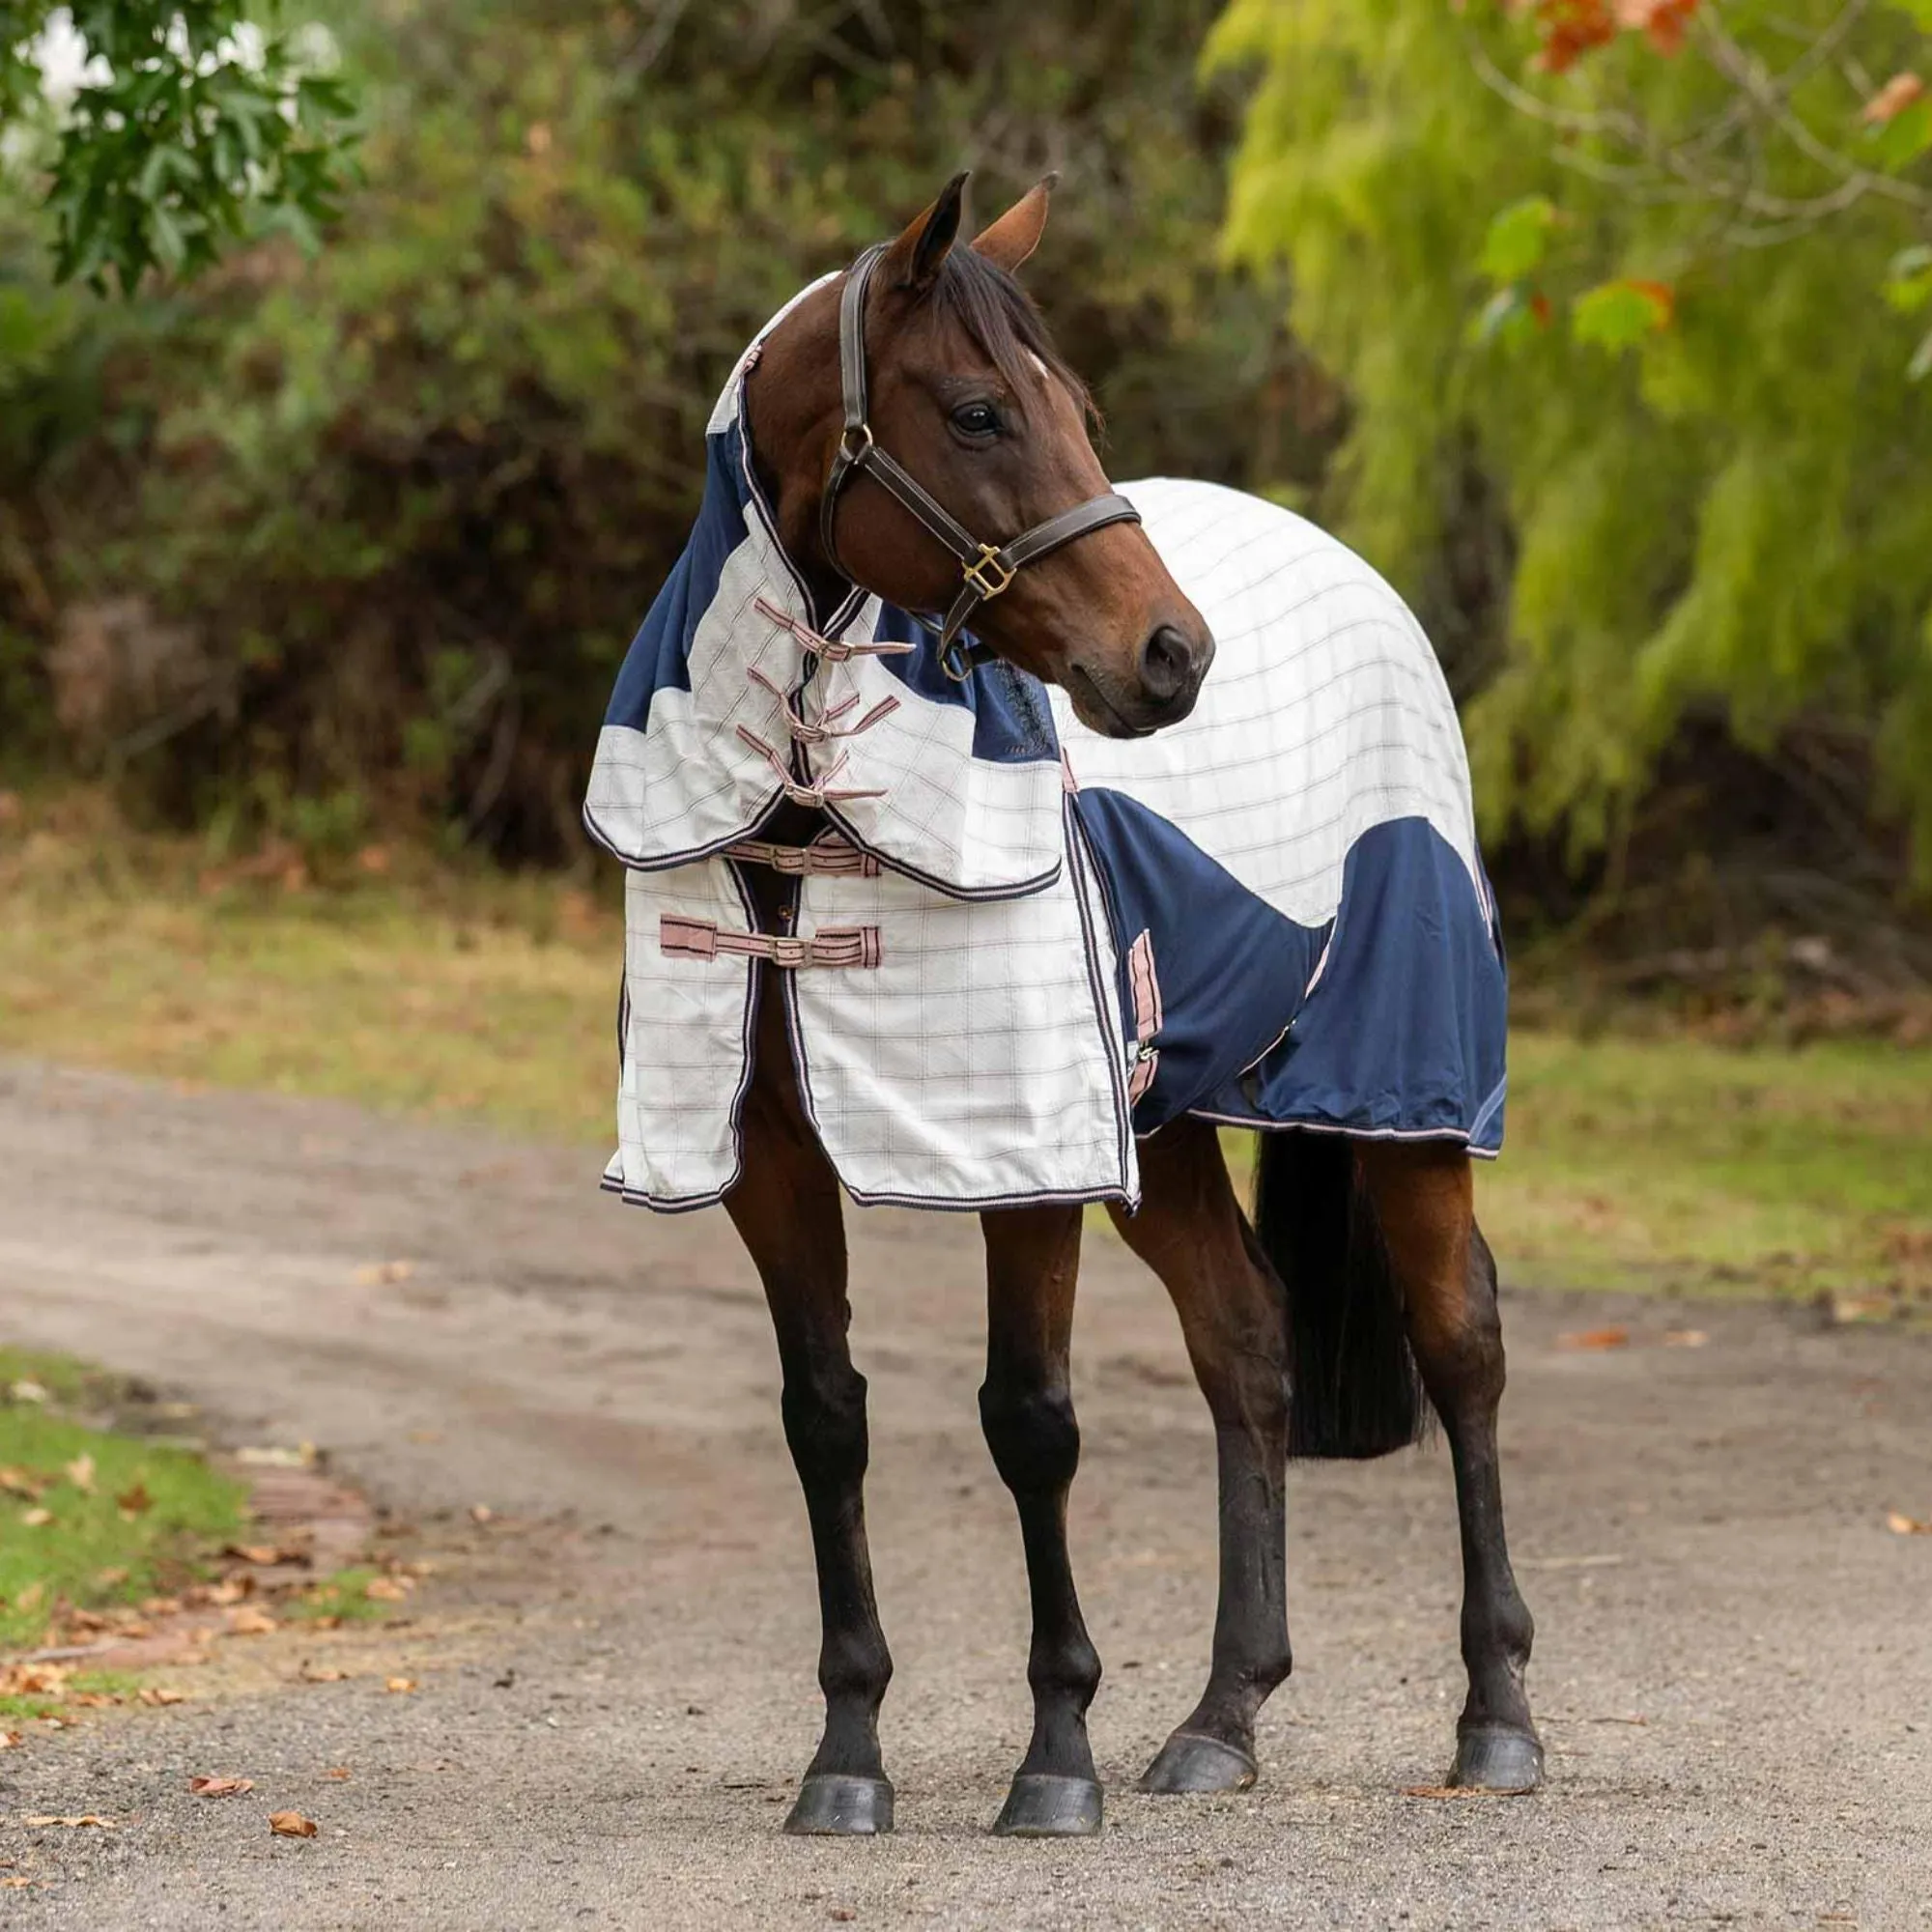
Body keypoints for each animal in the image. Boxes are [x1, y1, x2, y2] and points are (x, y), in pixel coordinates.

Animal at [580, 174, 1546, 1832]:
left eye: (1078, 410)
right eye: (978, 411)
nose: (1172, 655)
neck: (803, 814)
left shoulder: (1019, 1160)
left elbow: (1029, 1419)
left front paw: (1055, 1753)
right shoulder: (769, 1159)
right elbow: (825, 1418)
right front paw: (849, 1755)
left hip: (1404, 1096)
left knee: (1462, 1344)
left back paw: (1496, 1717)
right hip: (1159, 1127)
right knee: (1249, 1345)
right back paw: (1222, 1719)